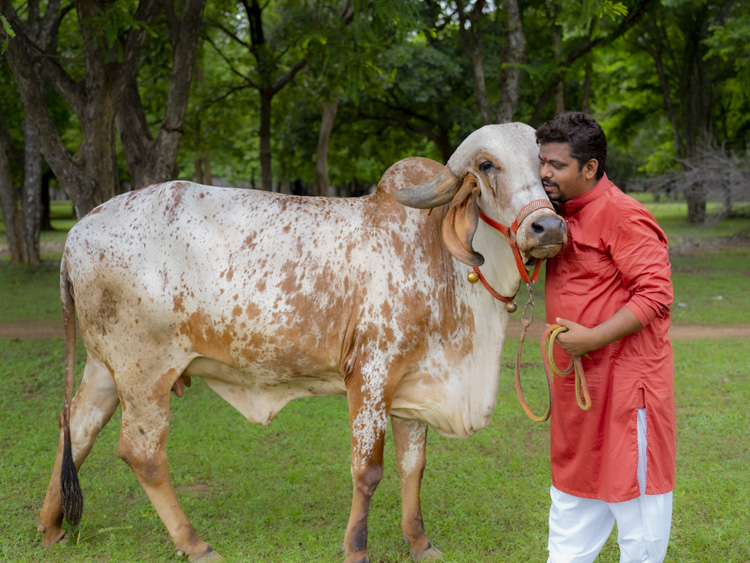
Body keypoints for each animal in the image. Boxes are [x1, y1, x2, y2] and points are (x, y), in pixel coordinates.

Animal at [35, 123, 564, 563]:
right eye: (487, 165)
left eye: (545, 166)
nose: (549, 228)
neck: (443, 261)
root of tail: (77, 231)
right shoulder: (371, 374)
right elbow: (368, 471)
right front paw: (356, 549)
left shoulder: (415, 382)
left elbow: (414, 466)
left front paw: (419, 542)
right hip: (145, 372)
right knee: (141, 453)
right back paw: (195, 544)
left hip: (106, 368)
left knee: (75, 428)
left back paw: (50, 528)